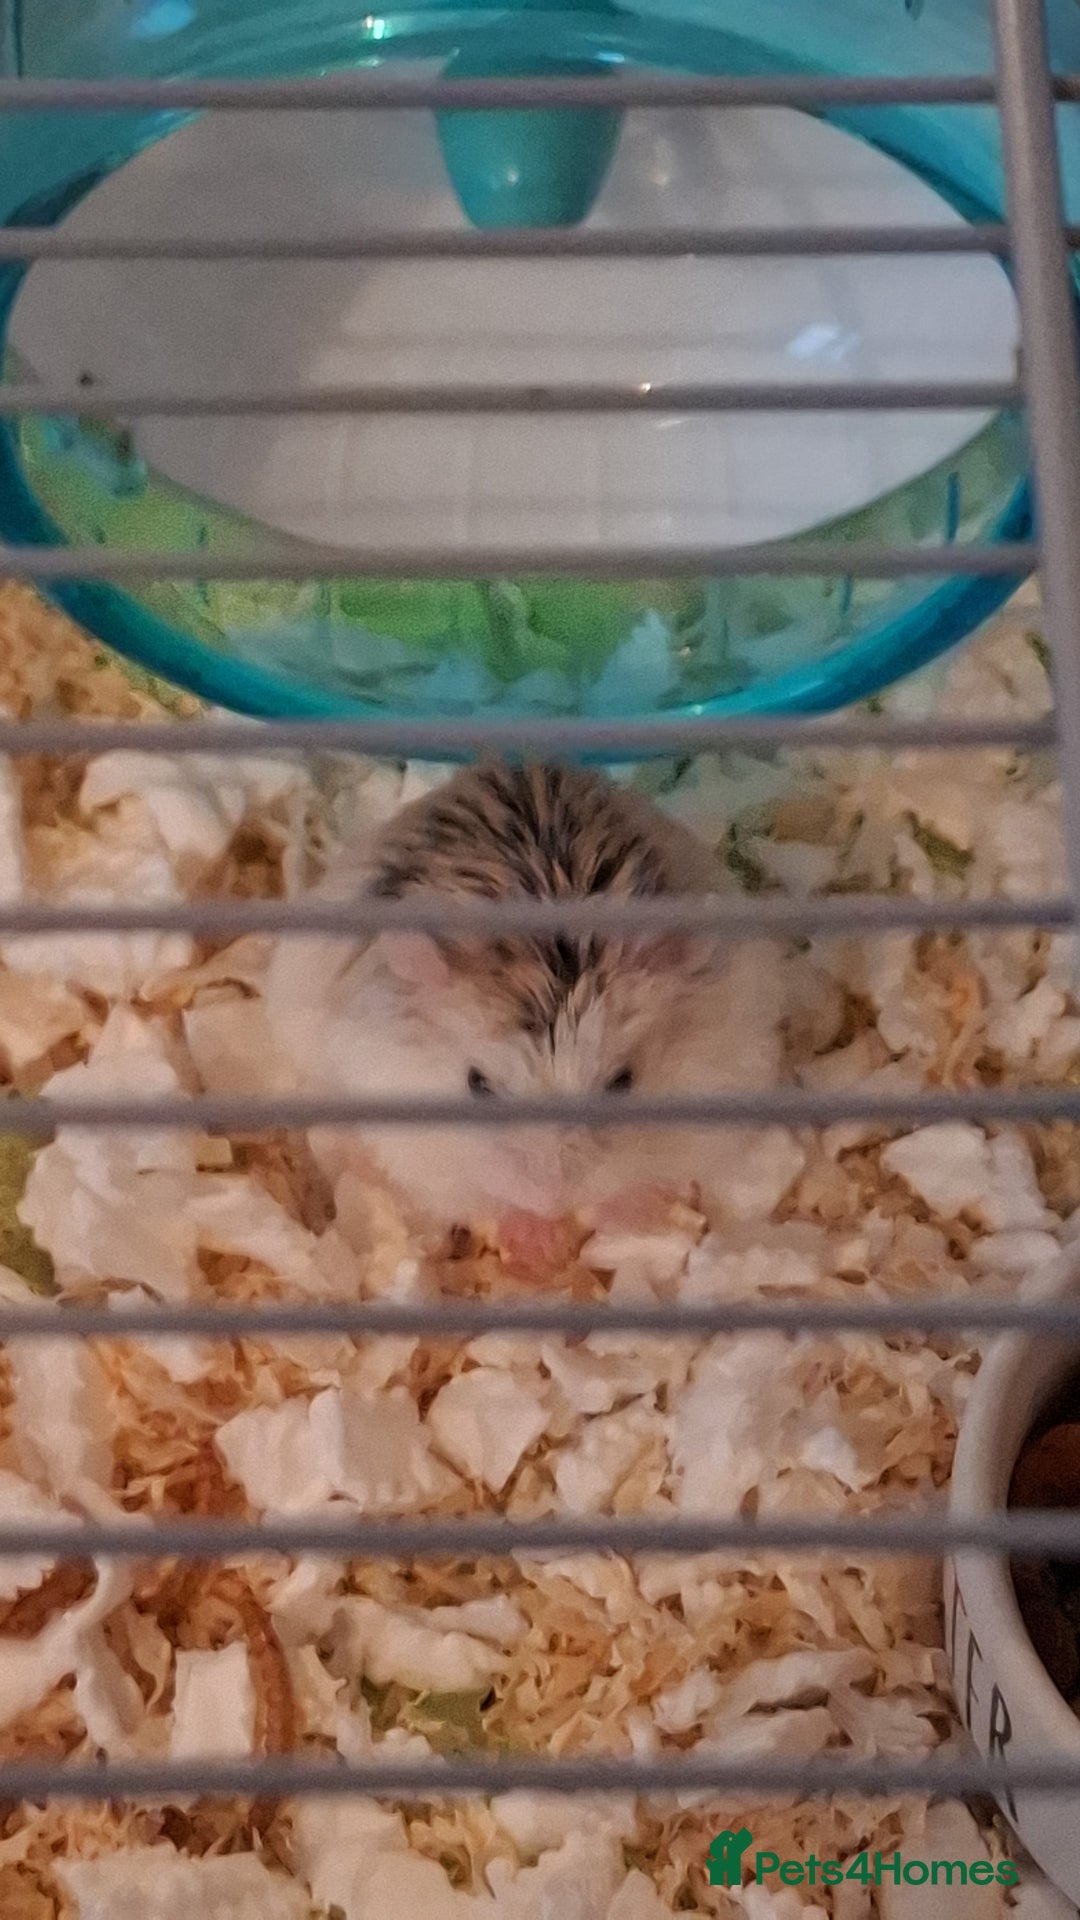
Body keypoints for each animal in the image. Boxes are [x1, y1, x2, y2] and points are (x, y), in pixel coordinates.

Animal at [265, 762, 786, 1232]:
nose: (552, 1204)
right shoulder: (416, 1147)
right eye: (476, 1084)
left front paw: (626, 1213)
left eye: (623, 1082)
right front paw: (537, 1239)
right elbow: (477, 1199)